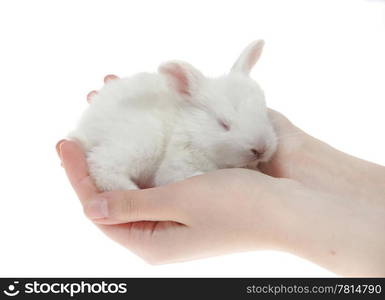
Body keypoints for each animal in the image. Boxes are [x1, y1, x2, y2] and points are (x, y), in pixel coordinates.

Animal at [67, 40, 274, 190]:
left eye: (263, 112)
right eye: (223, 124)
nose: (261, 149)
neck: (192, 128)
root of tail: (87, 128)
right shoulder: (175, 163)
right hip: (141, 143)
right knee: (100, 165)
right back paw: (129, 189)